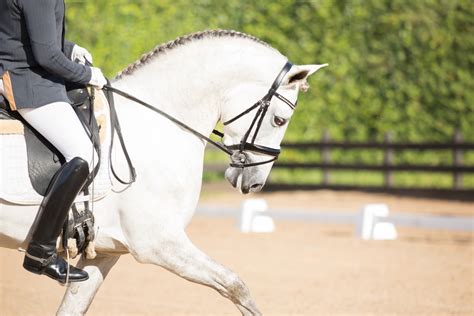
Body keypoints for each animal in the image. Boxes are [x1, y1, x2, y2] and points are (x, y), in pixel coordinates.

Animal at [0, 29, 326, 314]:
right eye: (280, 120)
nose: (255, 183)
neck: (157, 125)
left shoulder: (106, 252)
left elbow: (73, 305)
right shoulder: (160, 243)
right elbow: (236, 285)